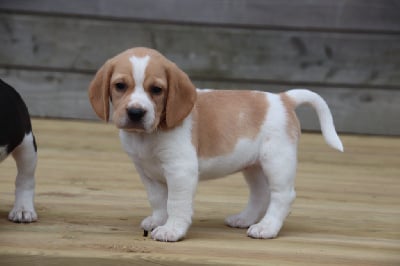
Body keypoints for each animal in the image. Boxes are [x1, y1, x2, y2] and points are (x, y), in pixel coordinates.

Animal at [89, 47, 342, 241]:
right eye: (120, 86)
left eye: (157, 90)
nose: (135, 112)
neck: (148, 136)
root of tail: (283, 98)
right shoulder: (146, 172)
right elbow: (159, 200)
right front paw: (158, 220)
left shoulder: (181, 171)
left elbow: (176, 203)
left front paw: (172, 230)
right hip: (254, 166)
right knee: (261, 194)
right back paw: (244, 218)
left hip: (277, 162)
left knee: (283, 196)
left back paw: (267, 227)